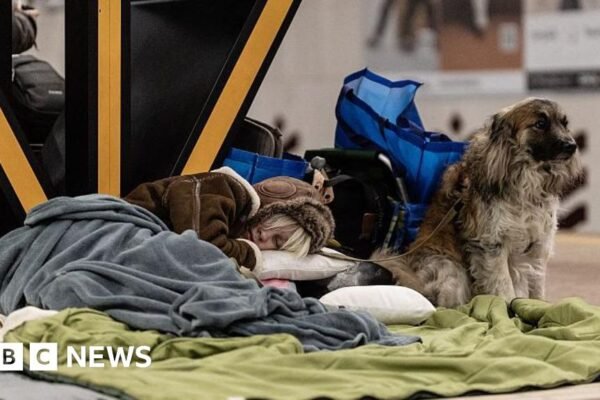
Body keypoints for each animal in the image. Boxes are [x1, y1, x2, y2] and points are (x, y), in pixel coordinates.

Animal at [375, 98, 583, 308]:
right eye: (540, 124)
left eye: (564, 124)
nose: (571, 145)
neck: (526, 182)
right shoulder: (492, 246)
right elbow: (504, 286)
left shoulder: (538, 246)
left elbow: (536, 289)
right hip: (451, 270)